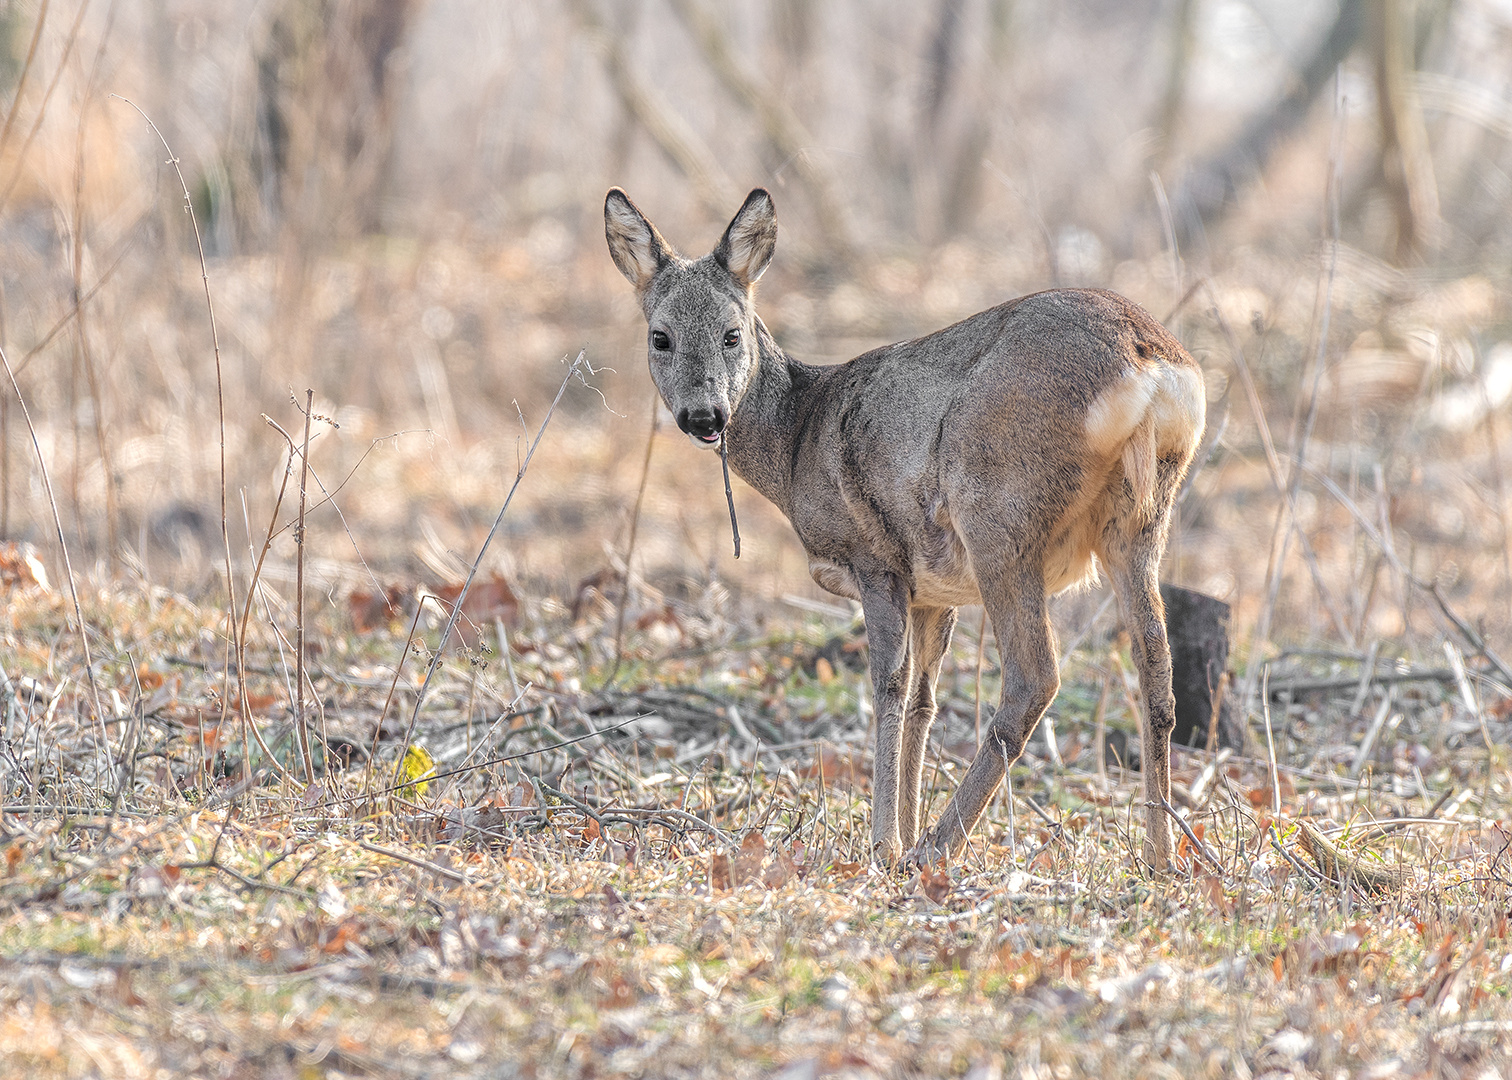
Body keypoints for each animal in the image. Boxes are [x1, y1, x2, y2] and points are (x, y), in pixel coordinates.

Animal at [601, 189, 1203, 871]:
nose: (704, 416)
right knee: (1157, 676)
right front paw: (903, 829)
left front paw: (885, 842)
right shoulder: (934, 590)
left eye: (732, 335)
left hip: (999, 514)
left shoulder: (876, 557)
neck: (799, 438)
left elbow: (887, 685)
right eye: (661, 337)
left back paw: (938, 847)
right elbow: (922, 699)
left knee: (1034, 677)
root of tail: (1151, 365)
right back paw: (1160, 855)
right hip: (1141, 524)